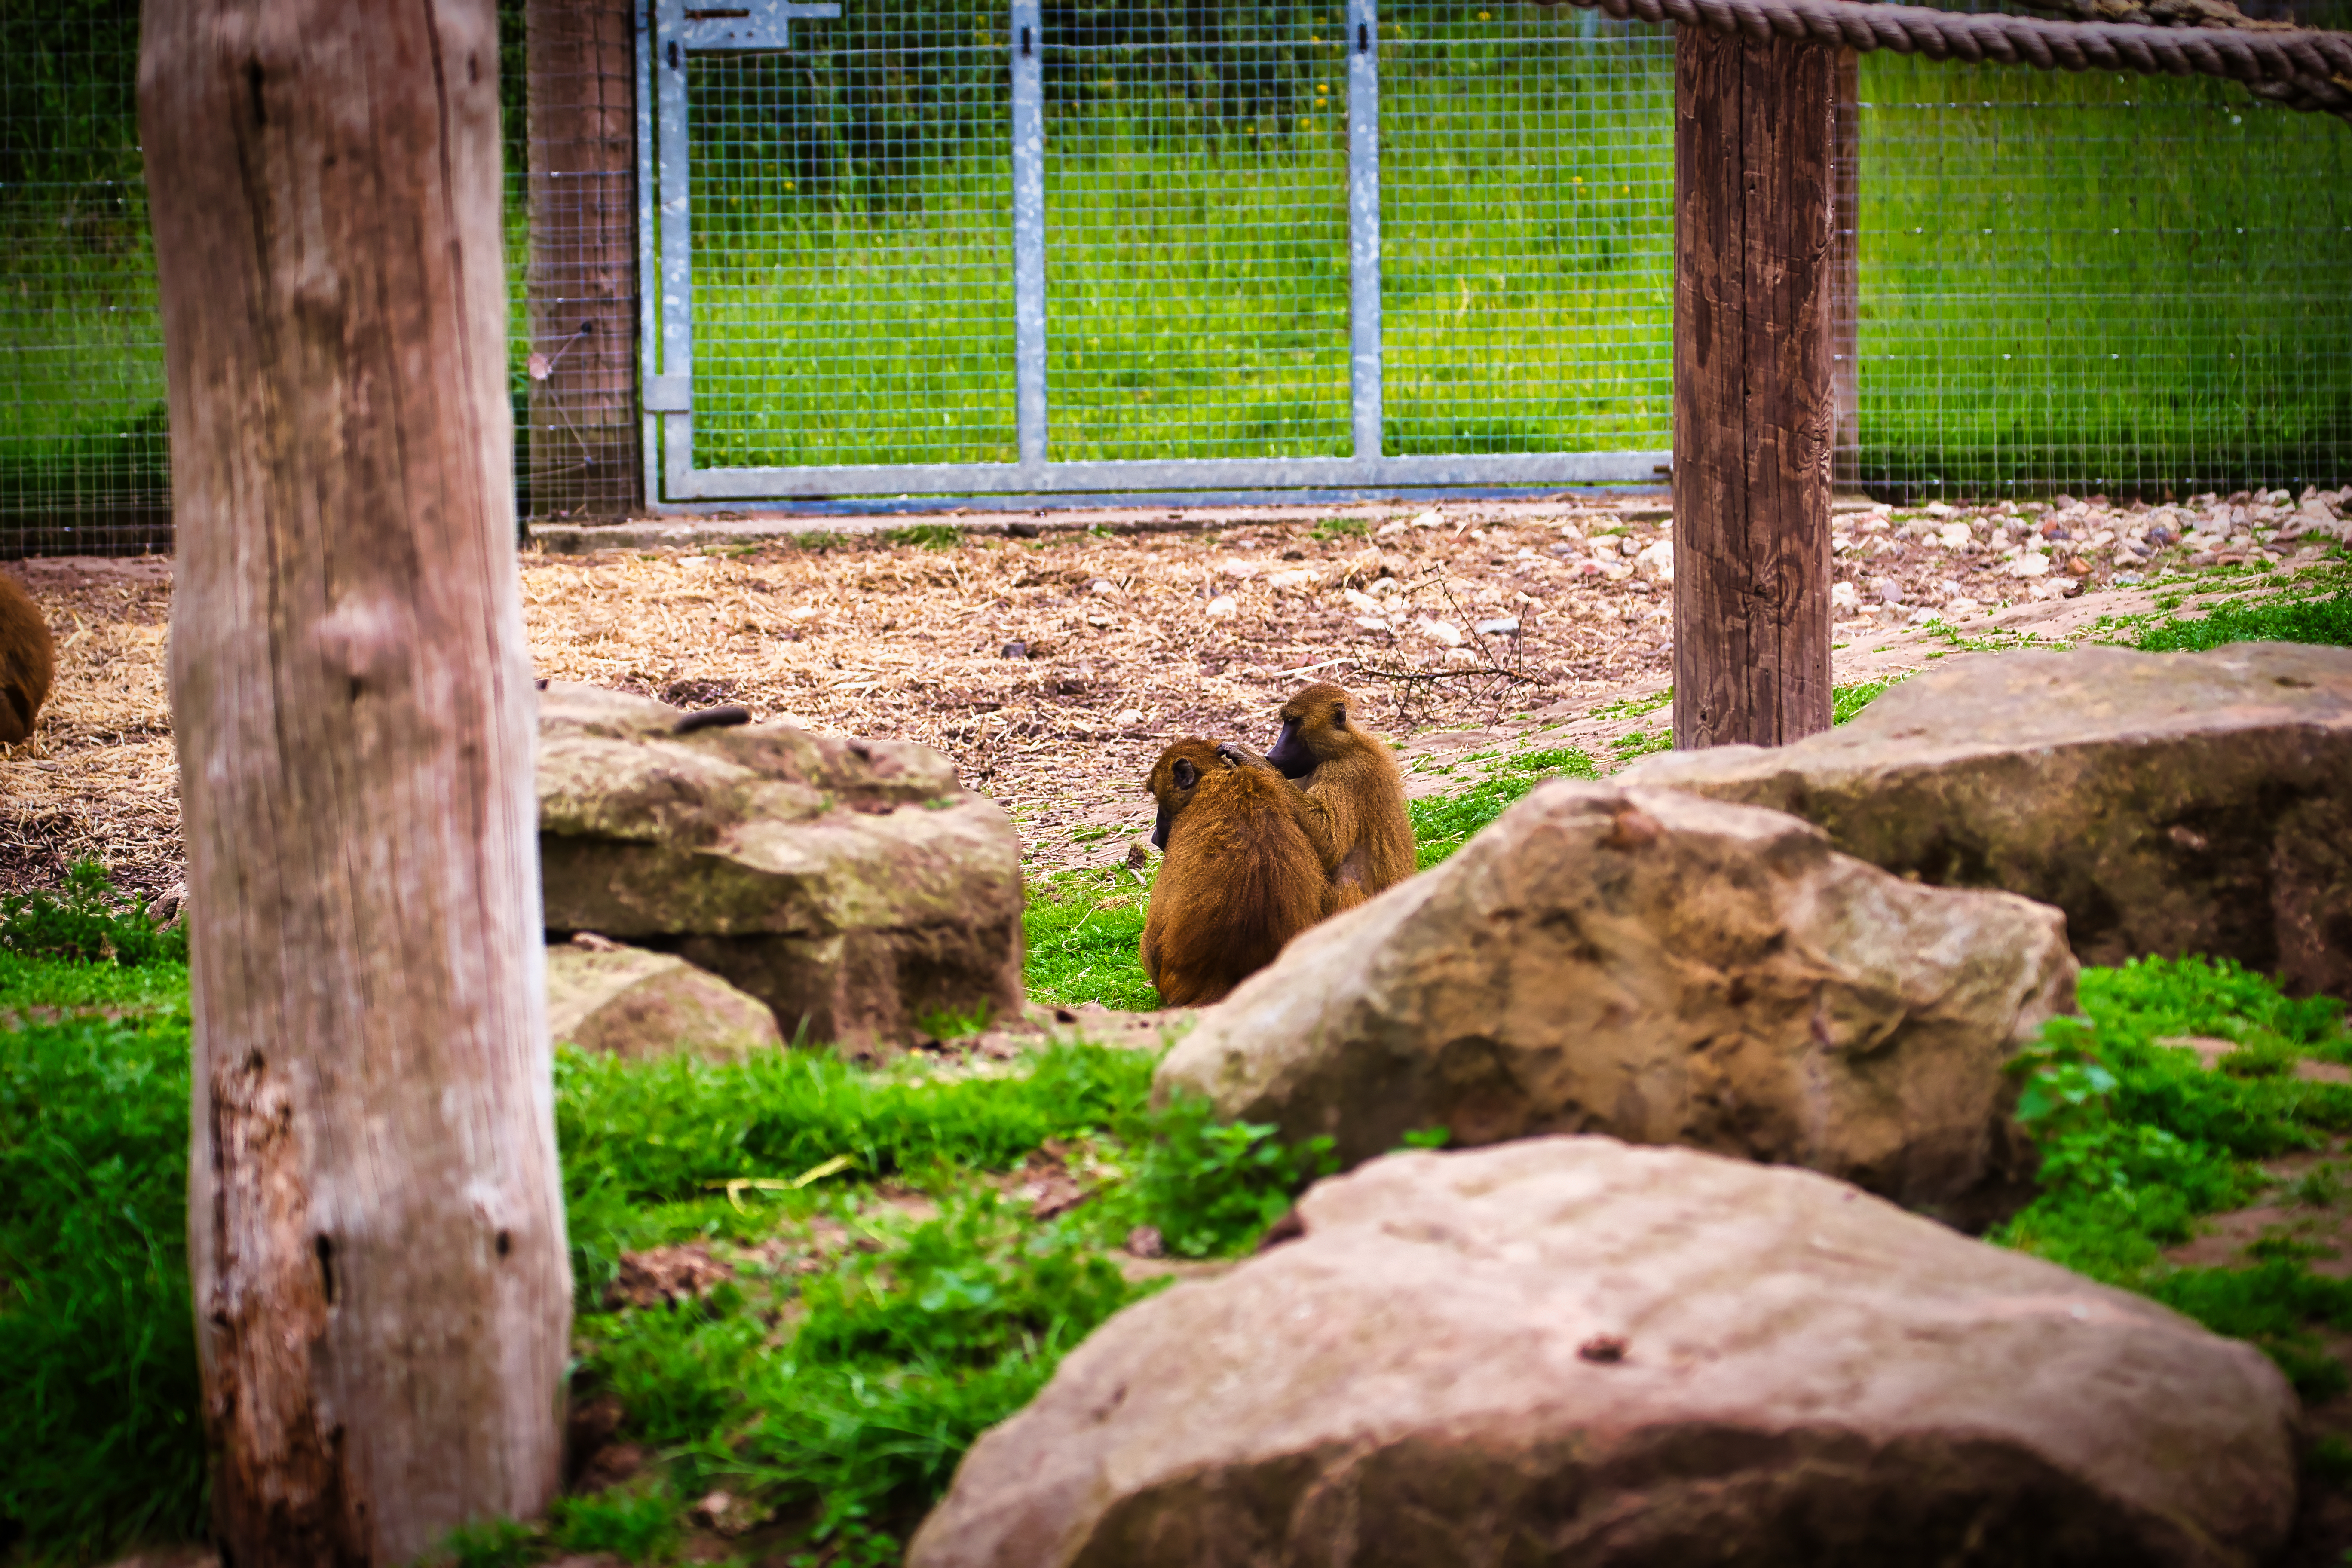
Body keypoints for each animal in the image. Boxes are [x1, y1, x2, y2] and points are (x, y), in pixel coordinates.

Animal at [1219, 681, 1414, 914]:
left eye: (1293, 723)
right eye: (1286, 723)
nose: (1271, 754)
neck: (1340, 748)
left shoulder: (1348, 771)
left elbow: (1330, 841)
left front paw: (1252, 760)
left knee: (1344, 886)